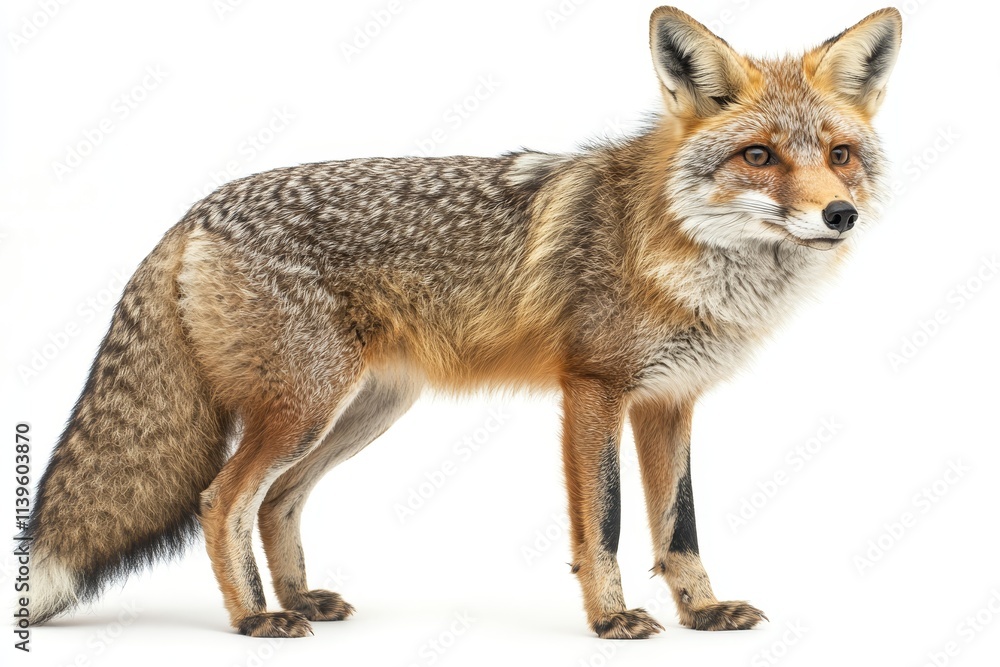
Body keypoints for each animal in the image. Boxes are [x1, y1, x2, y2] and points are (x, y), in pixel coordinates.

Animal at [25, 6, 901, 640]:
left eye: (839, 154)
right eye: (759, 156)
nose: (841, 214)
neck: (679, 249)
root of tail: (195, 210)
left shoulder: (669, 400)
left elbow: (678, 525)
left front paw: (702, 611)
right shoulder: (594, 388)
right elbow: (607, 524)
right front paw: (611, 618)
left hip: (359, 413)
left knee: (275, 503)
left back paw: (299, 600)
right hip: (304, 408)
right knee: (221, 500)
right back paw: (253, 616)